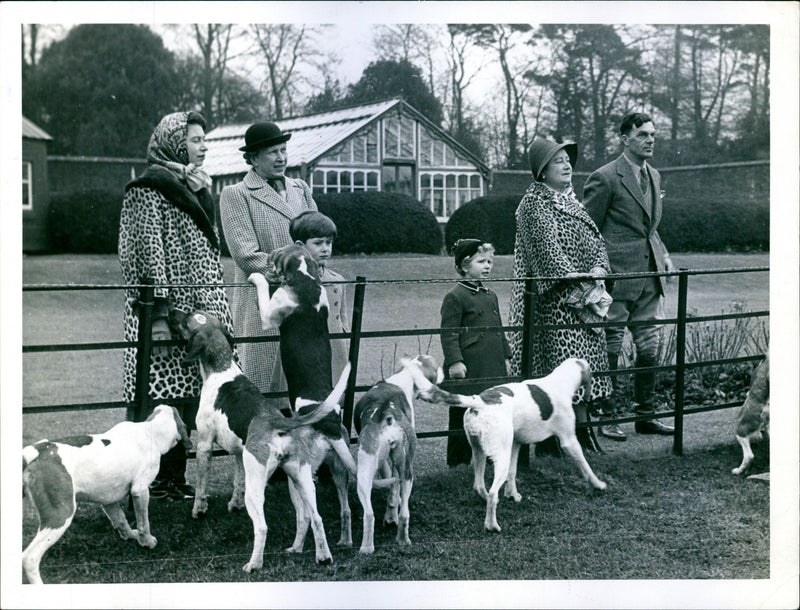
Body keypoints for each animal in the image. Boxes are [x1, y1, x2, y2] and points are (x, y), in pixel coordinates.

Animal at [21, 402, 191, 580]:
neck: (150, 431)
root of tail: (36, 450)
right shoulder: (140, 491)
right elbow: (144, 523)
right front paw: (147, 542)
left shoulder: (109, 500)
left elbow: (121, 520)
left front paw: (130, 535)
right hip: (60, 514)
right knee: (29, 558)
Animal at [181, 312, 356, 568]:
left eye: (187, 319)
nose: (172, 312)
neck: (223, 368)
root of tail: (278, 424)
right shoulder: (238, 453)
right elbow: (237, 481)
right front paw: (233, 505)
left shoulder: (204, 446)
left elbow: (202, 487)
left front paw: (199, 510)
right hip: (301, 480)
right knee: (314, 517)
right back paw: (321, 556)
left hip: (257, 485)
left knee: (263, 527)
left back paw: (254, 564)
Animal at [354, 354, 444, 552]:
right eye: (436, 366)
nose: (444, 370)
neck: (405, 377)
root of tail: (386, 413)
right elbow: (394, 489)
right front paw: (392, 514)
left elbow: (391, 486)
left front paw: (390, 515)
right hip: (405, 470)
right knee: (403, 513)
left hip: (365, 473)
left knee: (370, 515)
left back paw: (369, 548)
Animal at [416, 356, 604, 532]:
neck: (560, 381)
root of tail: (480, 401)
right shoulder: (569, 441)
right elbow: (585, 466)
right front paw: (598, 484)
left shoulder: (516, 444)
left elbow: (512, 474)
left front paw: (512, 495)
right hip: (501, 458)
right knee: (493, 494)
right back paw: (492, 525)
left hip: (480, 452)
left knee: (480, 486)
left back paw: (486, 499)